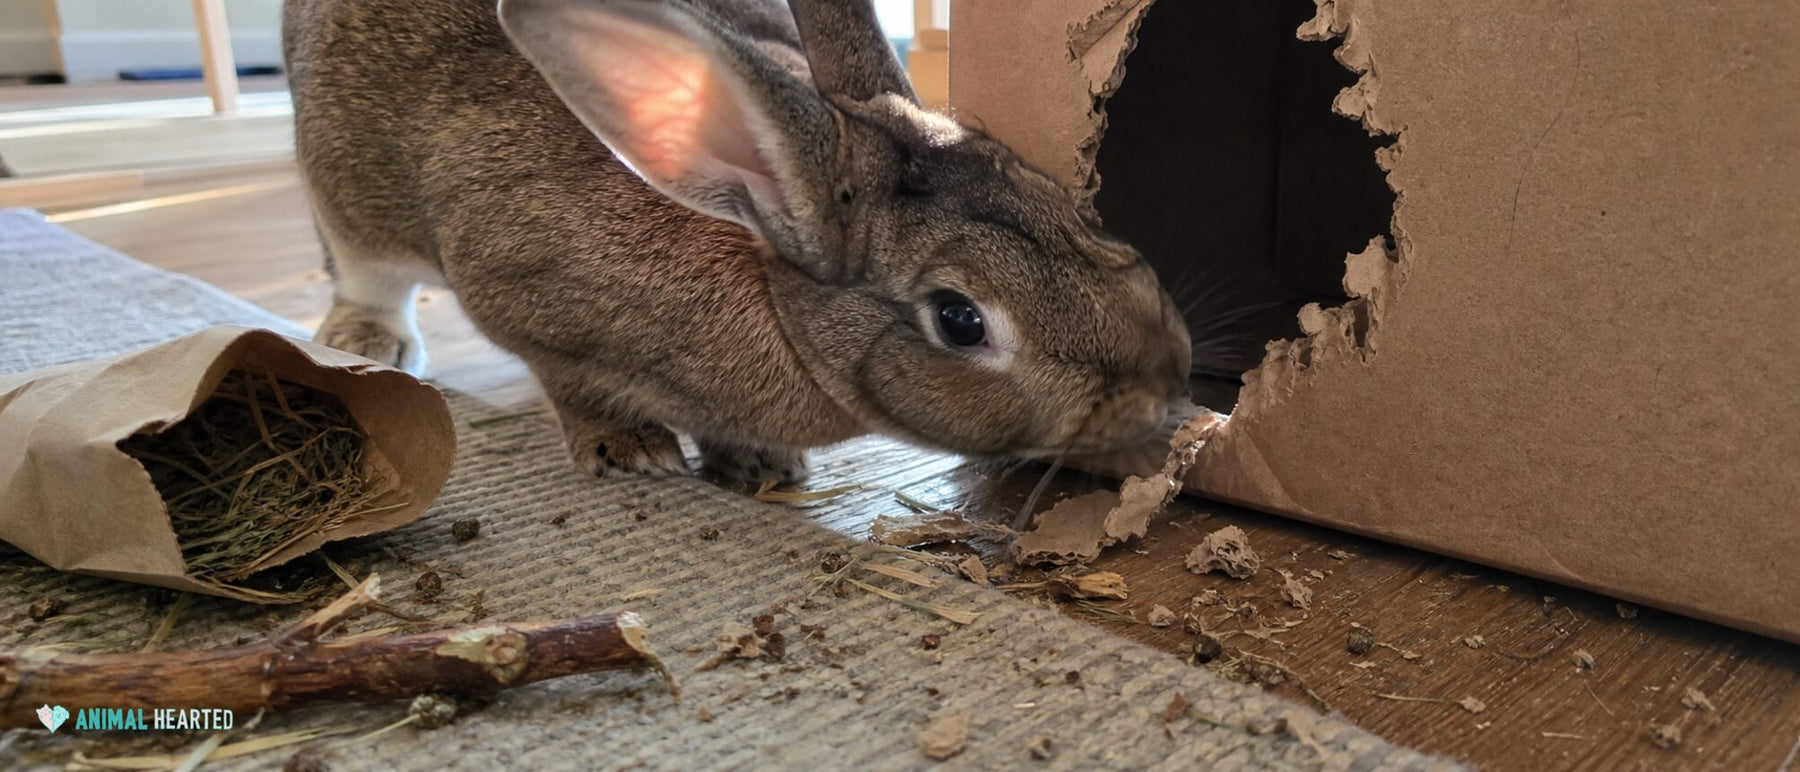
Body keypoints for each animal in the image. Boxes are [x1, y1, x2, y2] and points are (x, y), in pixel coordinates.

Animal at [284, 0, 1192, 483]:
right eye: (960, 321)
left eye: (1061, 202)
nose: (1168, 381)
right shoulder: (523, 300)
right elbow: (570, 384)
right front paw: (631, 452)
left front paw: (760, 466)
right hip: (348, 196)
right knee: (363, 270)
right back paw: (368, 342)